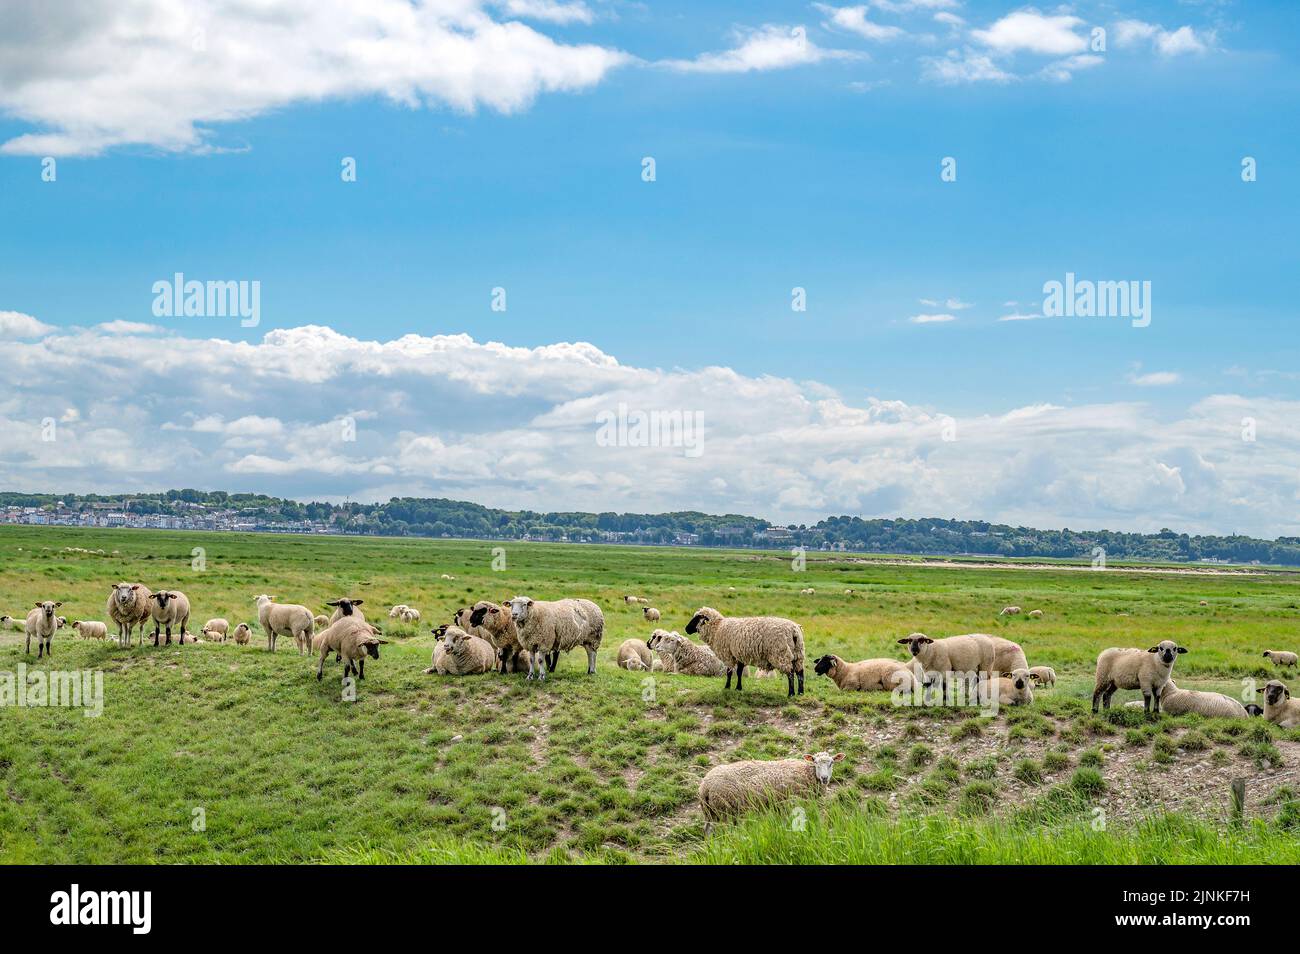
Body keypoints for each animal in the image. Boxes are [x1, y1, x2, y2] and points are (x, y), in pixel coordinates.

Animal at [696, 753, 847, 837]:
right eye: (815, 762)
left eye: (832, 763)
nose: (824, 778)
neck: (805, 772)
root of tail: (705, 786)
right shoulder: (792, 802)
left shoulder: (780, 805)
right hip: (724, 809)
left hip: (711, 812)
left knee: (707, 831)